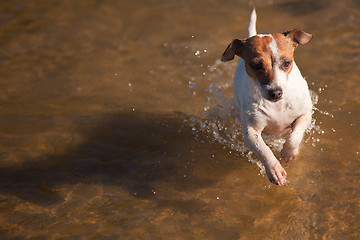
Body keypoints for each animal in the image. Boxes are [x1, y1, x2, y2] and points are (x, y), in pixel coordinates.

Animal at [219, 8, 312, 186]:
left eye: (286, 63)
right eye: (255, 65)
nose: (275, 92)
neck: (277, 106)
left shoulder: (305, 114)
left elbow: (295, 136)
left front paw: (288, 152)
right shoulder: (251, 131)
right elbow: (263, 149)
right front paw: (274, 170)